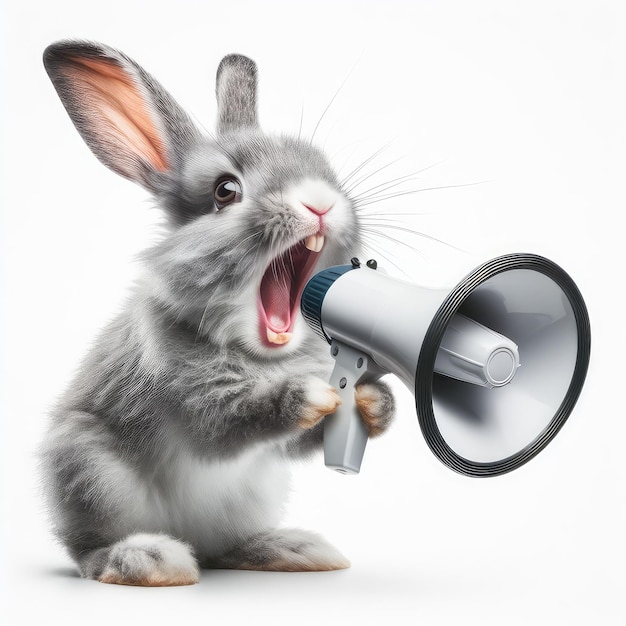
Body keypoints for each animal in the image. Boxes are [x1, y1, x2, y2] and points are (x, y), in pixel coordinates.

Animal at [39, 40, 392, 584]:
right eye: (225, 191)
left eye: (325, 169)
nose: (320, 203)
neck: (261, 356)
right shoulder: (190, 397)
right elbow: (227, 424)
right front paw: (308, 394)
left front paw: (374, 401)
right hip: (89, 472)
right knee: (89, 553)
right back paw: (149, 560)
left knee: (227, 548)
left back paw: (293, 549)